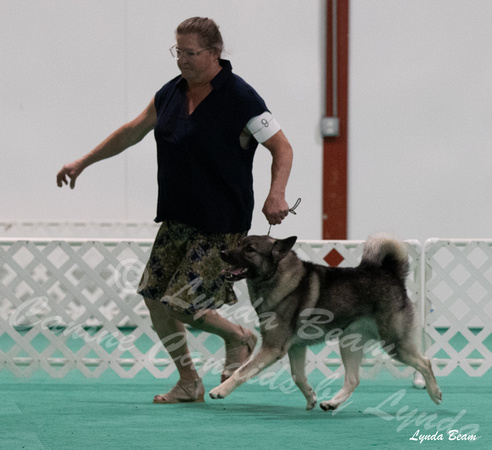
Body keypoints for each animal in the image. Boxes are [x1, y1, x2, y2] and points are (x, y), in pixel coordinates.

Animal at [209, 236, 442, 412]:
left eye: (250, 249)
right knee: (353, 379)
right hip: (348, 344)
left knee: (425, 362)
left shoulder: (272, 348)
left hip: (394, 344)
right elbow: (298, 377)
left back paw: (435, 393)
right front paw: (311, 397)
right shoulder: (295, 347)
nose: (222, 252)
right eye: (240, 243)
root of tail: (391, 274)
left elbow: (241, 371)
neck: (277, 276)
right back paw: (332, 403)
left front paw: (220, 390)